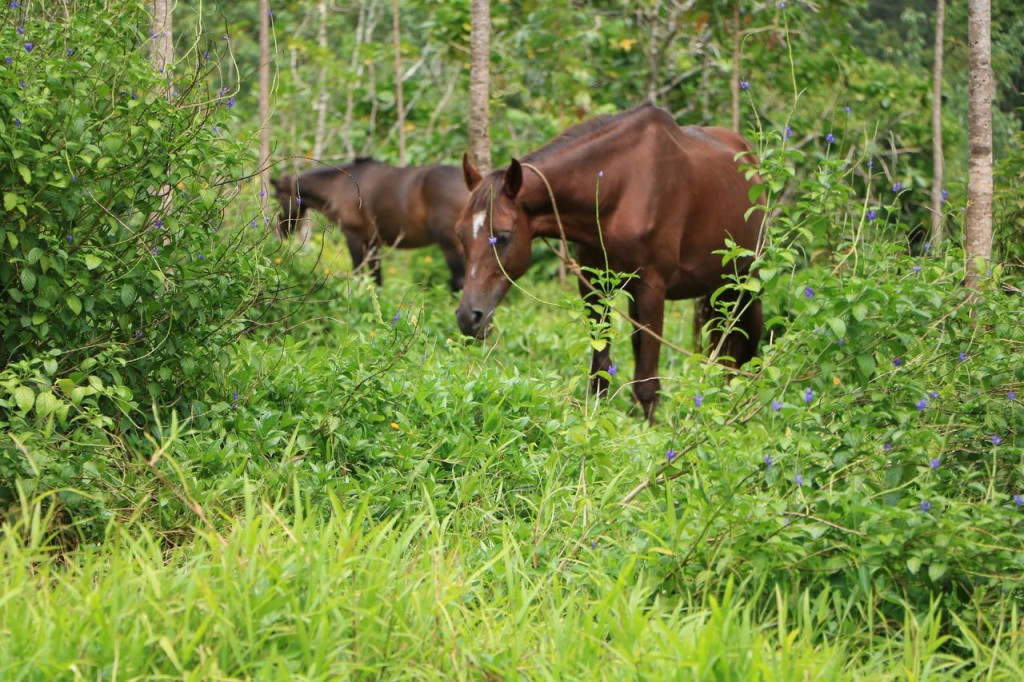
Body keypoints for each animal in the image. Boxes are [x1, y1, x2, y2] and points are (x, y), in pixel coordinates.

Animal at [272, 158, 469, 292]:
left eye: (280, 198)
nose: (282, 231)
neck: (339, 185)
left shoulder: (354, 238)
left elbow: (358, 274)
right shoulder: (374, 242)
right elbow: (376, 278)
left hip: (449, 243)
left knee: (460, 280)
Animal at [455, 103, 764, 423]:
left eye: (502, 237)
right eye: (460, 234)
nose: (468, 317)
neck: (620, 190)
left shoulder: (652, 290)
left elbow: (647, 383)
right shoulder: (594, 287)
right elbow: (600, 373)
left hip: (746, 284)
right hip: (716, 290)